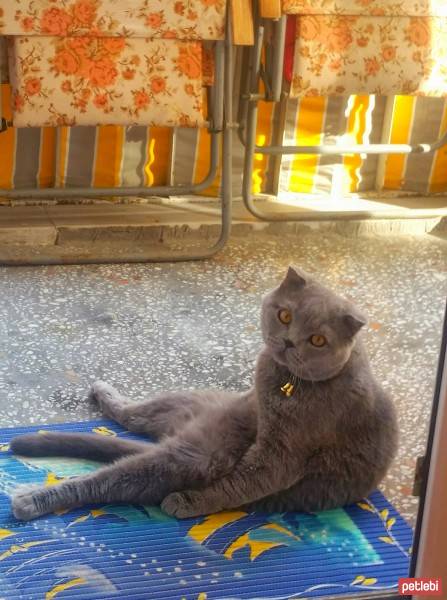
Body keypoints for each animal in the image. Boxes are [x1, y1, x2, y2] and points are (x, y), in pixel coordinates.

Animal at [9, 268, 400, 520]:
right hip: (187, 399)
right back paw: (101, 390)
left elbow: (237, 485)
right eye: (285, 315)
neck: (282, 382)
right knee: (132, 415)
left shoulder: (282, 457)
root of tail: (177, 432)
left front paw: (187, 503)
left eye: (318, 340)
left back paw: (29, 500)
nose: (289, 342)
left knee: (105, 480)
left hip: (186, 453)